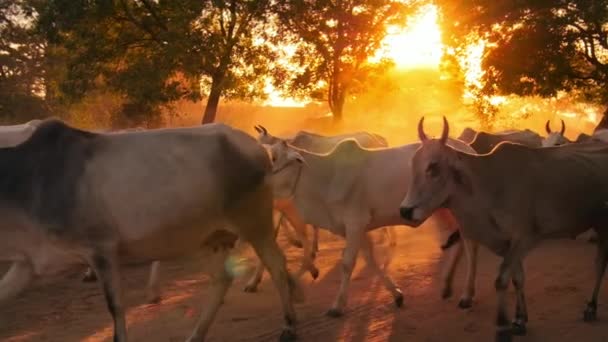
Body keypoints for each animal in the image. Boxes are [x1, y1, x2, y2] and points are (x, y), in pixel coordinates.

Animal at [0, 119, 302, 342]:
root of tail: (260, 150)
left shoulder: (101, 249)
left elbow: (116, 308)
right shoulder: (26, 263)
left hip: (255, 223)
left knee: (277, 265)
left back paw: (289, 325)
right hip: (210, 237)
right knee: (221, 280)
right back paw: (195, 335)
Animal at [264, 132, 476, 318]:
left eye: (273, 158)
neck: (326, 178)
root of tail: (467, 148)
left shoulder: (355, 223)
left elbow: (347, 264)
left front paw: (337, 306)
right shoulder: (357, 229)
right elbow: (370, 260)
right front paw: (397, 294)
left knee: (470, 244)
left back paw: (466, 296)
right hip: (441, 211)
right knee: (456, 240)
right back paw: (447, 285)